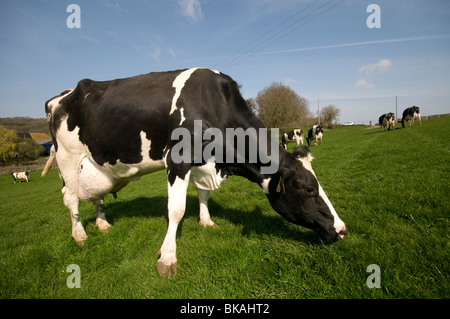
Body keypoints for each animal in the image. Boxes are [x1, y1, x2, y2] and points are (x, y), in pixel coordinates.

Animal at [42, 68, 346, 278]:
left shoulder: (204, 162)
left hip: (97, 166)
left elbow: (203, 195)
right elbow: (176, 209)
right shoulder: (177, 159)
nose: (342, 231)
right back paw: (80, 235)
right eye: (308, 188)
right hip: (67, 158)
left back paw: (102, 224)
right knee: (70, 198)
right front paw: (167, 258)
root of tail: (60, 96)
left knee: (95, 195)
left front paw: (206, 221)